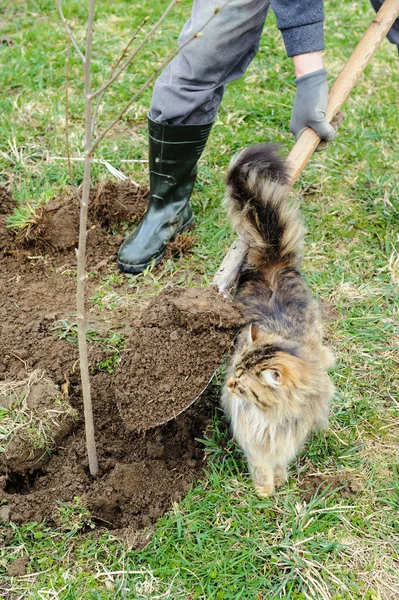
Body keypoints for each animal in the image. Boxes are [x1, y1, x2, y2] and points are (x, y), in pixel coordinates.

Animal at [222, 144, 334, 496]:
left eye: (243, 383)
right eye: (235, 372)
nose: (229, 385)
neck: (270, 417)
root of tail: (273, 261)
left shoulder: (290, 433)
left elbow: (281, 457)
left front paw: (280, 479)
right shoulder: (251, 435)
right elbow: (260, 464)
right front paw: (264, 491)